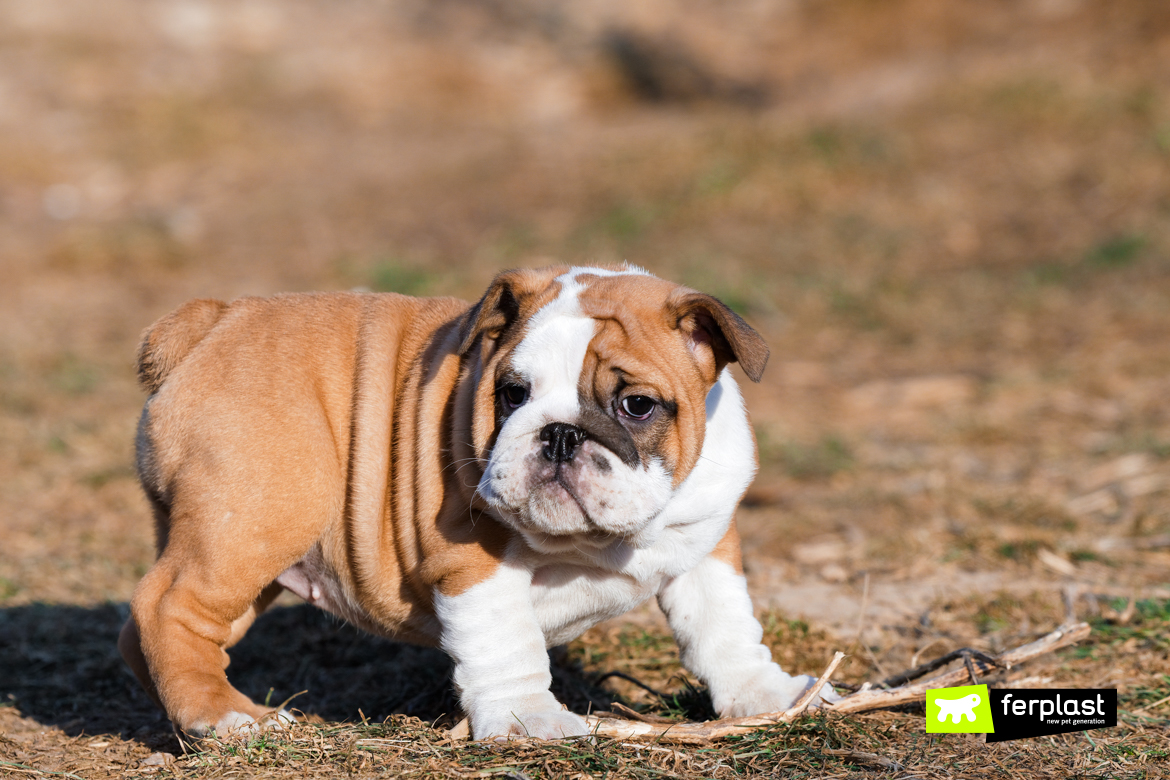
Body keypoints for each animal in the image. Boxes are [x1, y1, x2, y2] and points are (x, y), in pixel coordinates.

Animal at [121, 265, 842, 743]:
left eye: (636, 404)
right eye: (512, 394)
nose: (559, 434)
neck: (605, 540)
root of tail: (211, 320)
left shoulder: (707, 544)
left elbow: (724, 627)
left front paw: (772, 694)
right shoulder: (472, 561)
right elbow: (506, 643)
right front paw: (532, 720)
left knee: (158, 627)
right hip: (251, 521)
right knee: (169, 605)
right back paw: (229, 717)